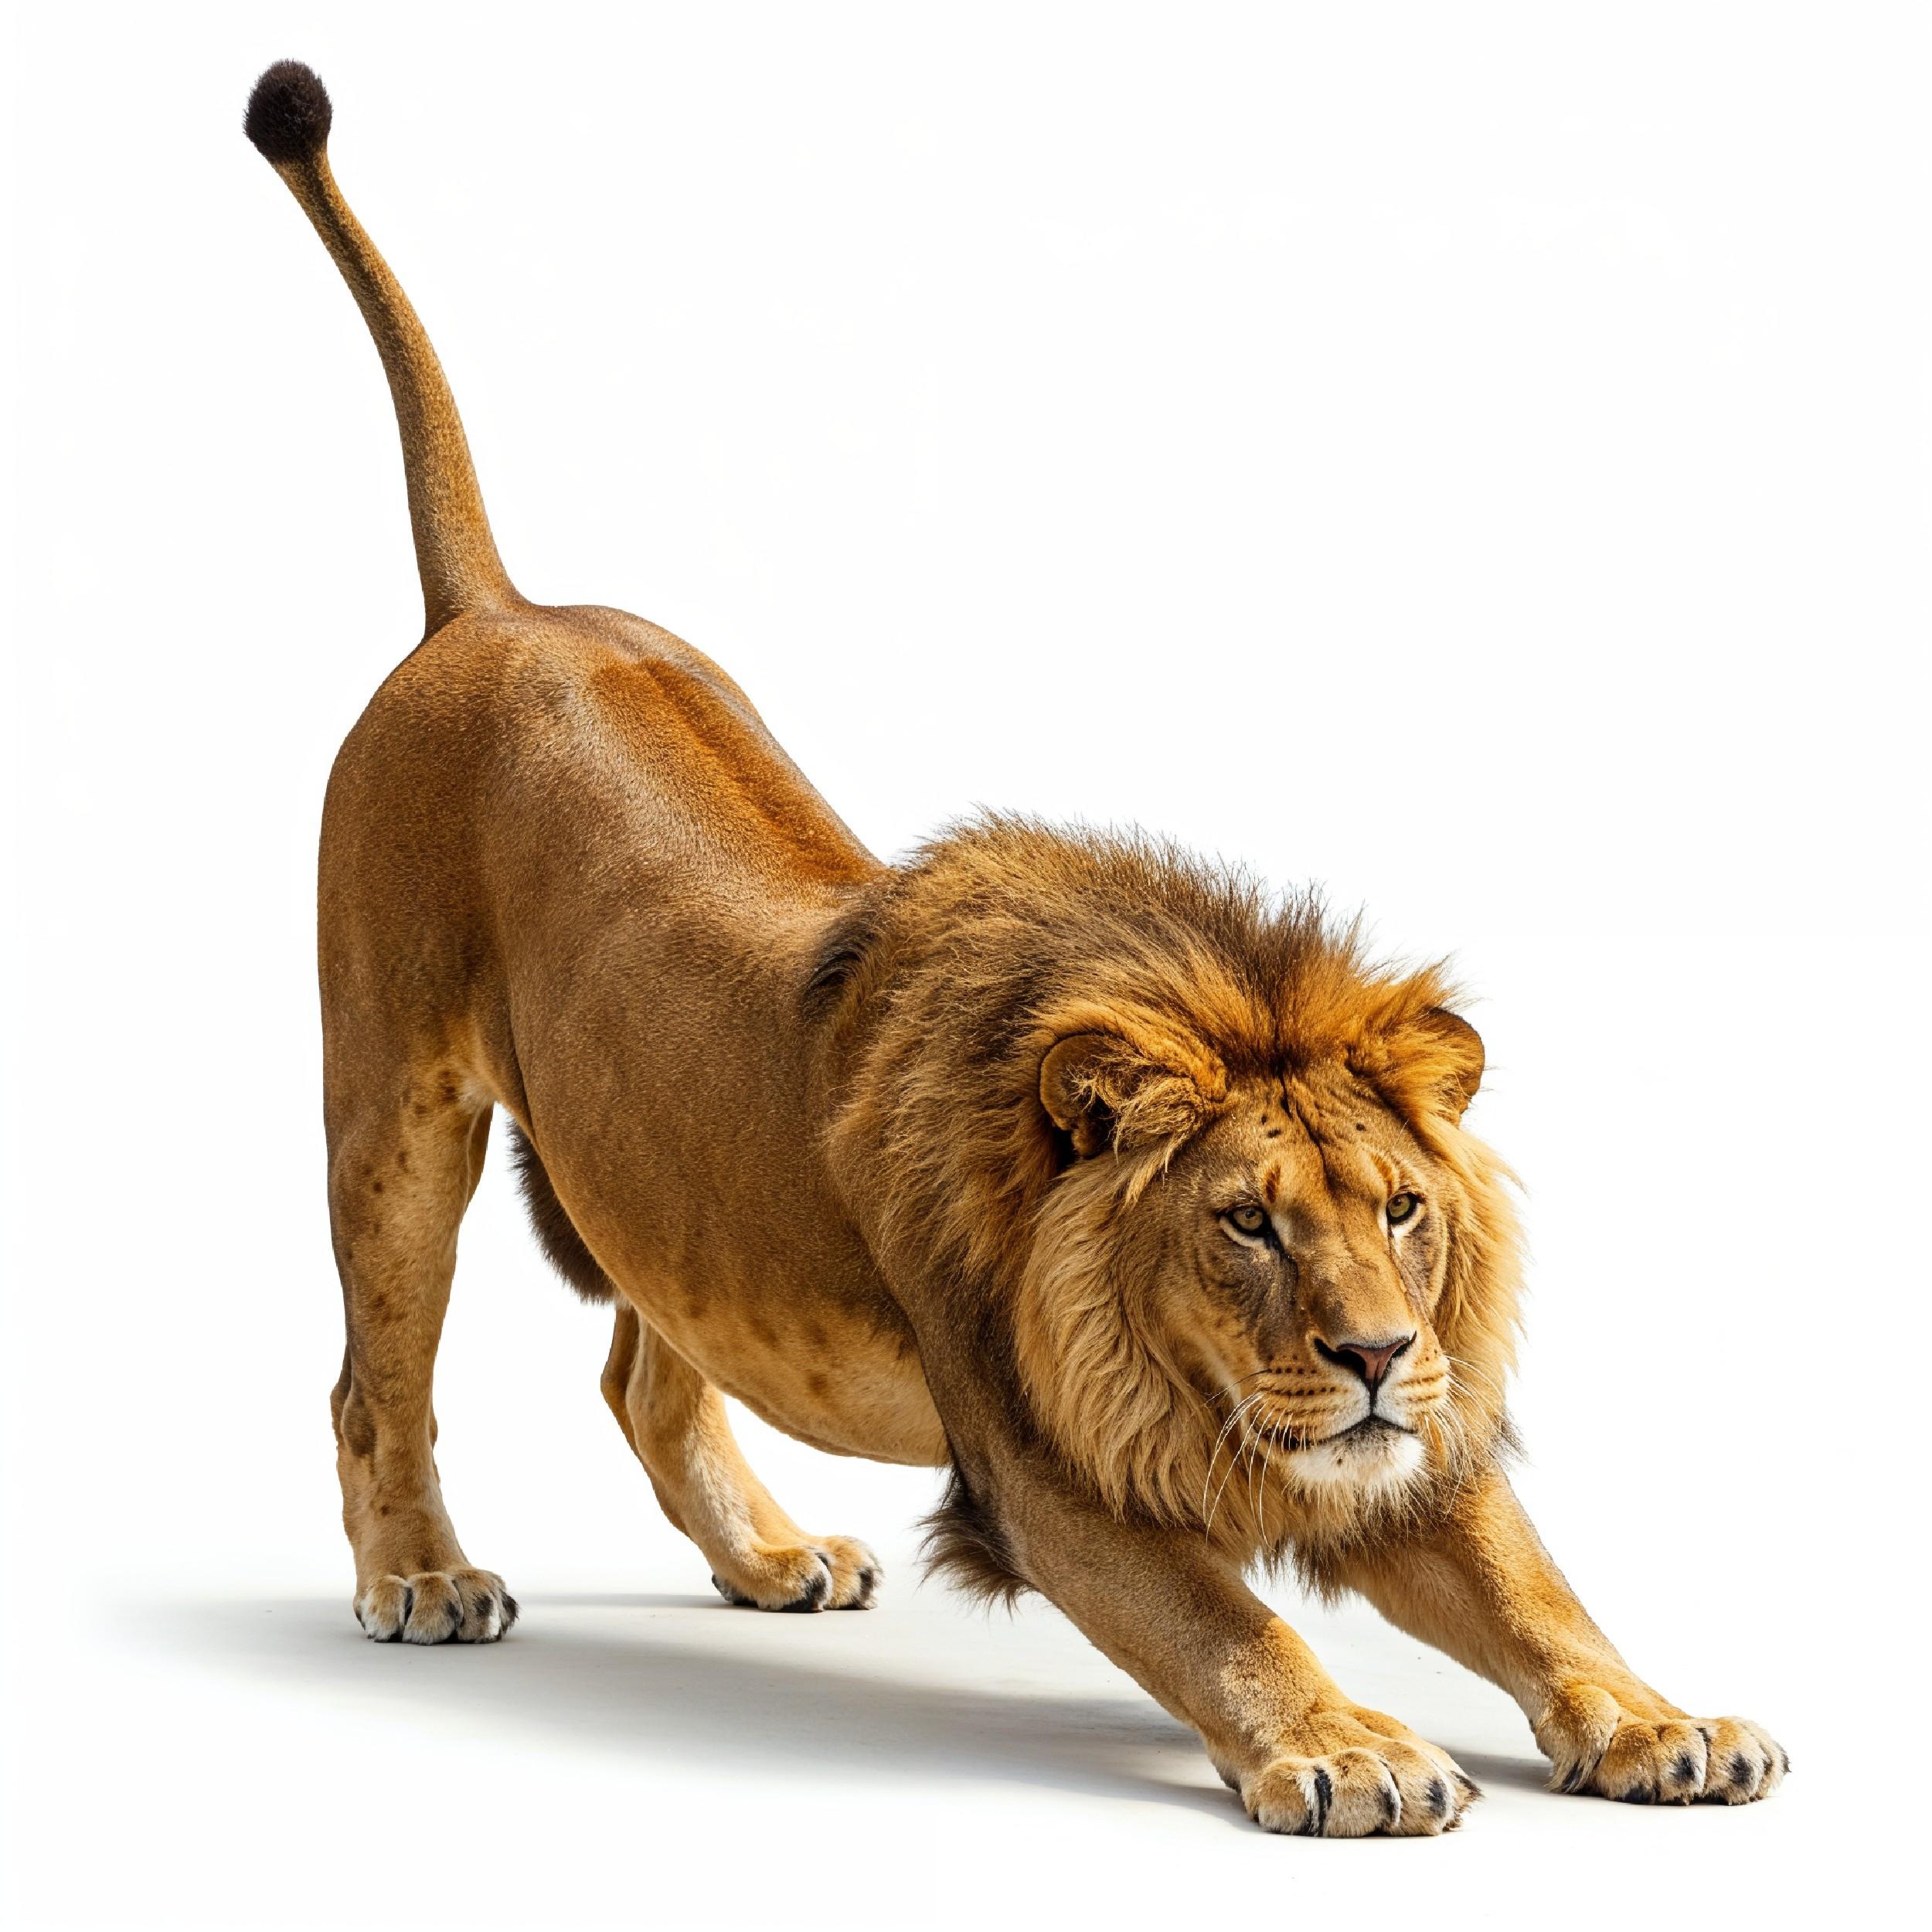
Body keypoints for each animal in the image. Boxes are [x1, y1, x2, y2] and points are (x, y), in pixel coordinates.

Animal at [247, 60, 1785, 1835]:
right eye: (1244, 1223)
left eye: (1401, 1209)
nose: (1379, 1353)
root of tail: (495, 611)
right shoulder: (1044, 1471)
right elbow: (1227, 1620)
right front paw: (1351, 1750)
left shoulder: (1398, 1446)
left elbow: (1534, 1585)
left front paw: (1660, 1720)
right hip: (390, 1117)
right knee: (374, 1380)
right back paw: (422, 1577)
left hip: (659, 1186)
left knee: (645, 1372)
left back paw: (768, 1556)